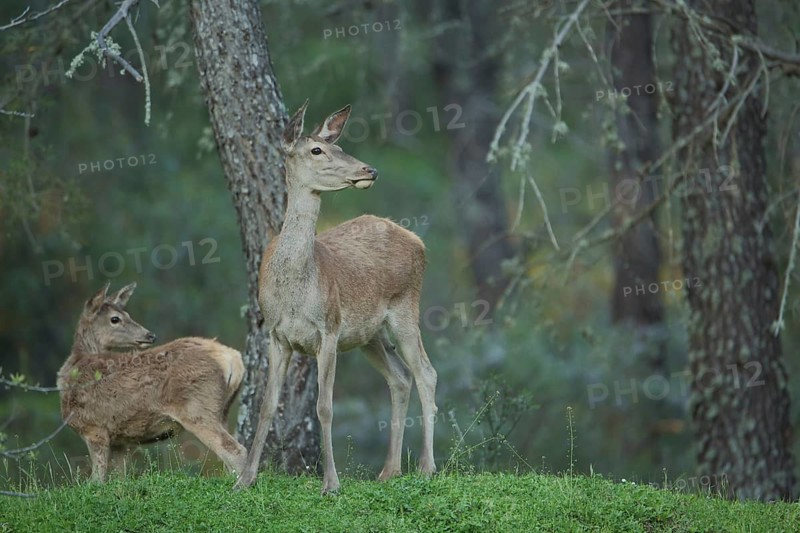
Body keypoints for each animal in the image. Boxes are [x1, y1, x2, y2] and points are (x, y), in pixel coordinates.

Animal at [57, 282, 248, 482]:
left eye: (123, 315)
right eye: (116, 318)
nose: (150, 335)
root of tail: (233, 358)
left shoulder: (94, 428)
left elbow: (97, 481)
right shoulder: (119, 439)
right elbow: (120, 477)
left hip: (197, 408)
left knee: (236, 451)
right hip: (222, 410)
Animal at [233, 101, 438, 494]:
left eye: (339, 146)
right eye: (317, 149)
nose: (369, 169)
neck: (295, 290)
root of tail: (419, 241)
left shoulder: (327, 329)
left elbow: (324, 406)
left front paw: (330, 482)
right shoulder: (276, 335)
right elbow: (266, 406)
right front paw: (245, 479)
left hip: (405, 309)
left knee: (426, 373)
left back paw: (426, 466)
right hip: (368, 334)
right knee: (400, 378)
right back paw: (389, 470)